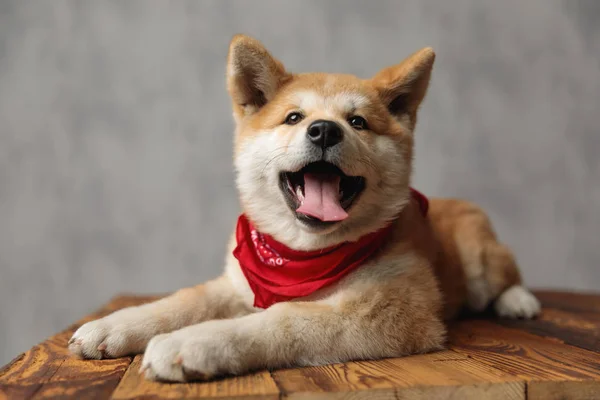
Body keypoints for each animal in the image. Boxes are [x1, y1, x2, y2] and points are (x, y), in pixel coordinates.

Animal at [68, 34, 540, 382]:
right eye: (294, 117)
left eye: (357, 122)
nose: (324, 130)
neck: (303, 255)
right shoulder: (237, 283)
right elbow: (184, 301)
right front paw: (115, 325)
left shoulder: (391, 310)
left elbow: (283, 319)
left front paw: (193, 344)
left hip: (480, 259)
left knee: (506, 275)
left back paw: (518, 301)